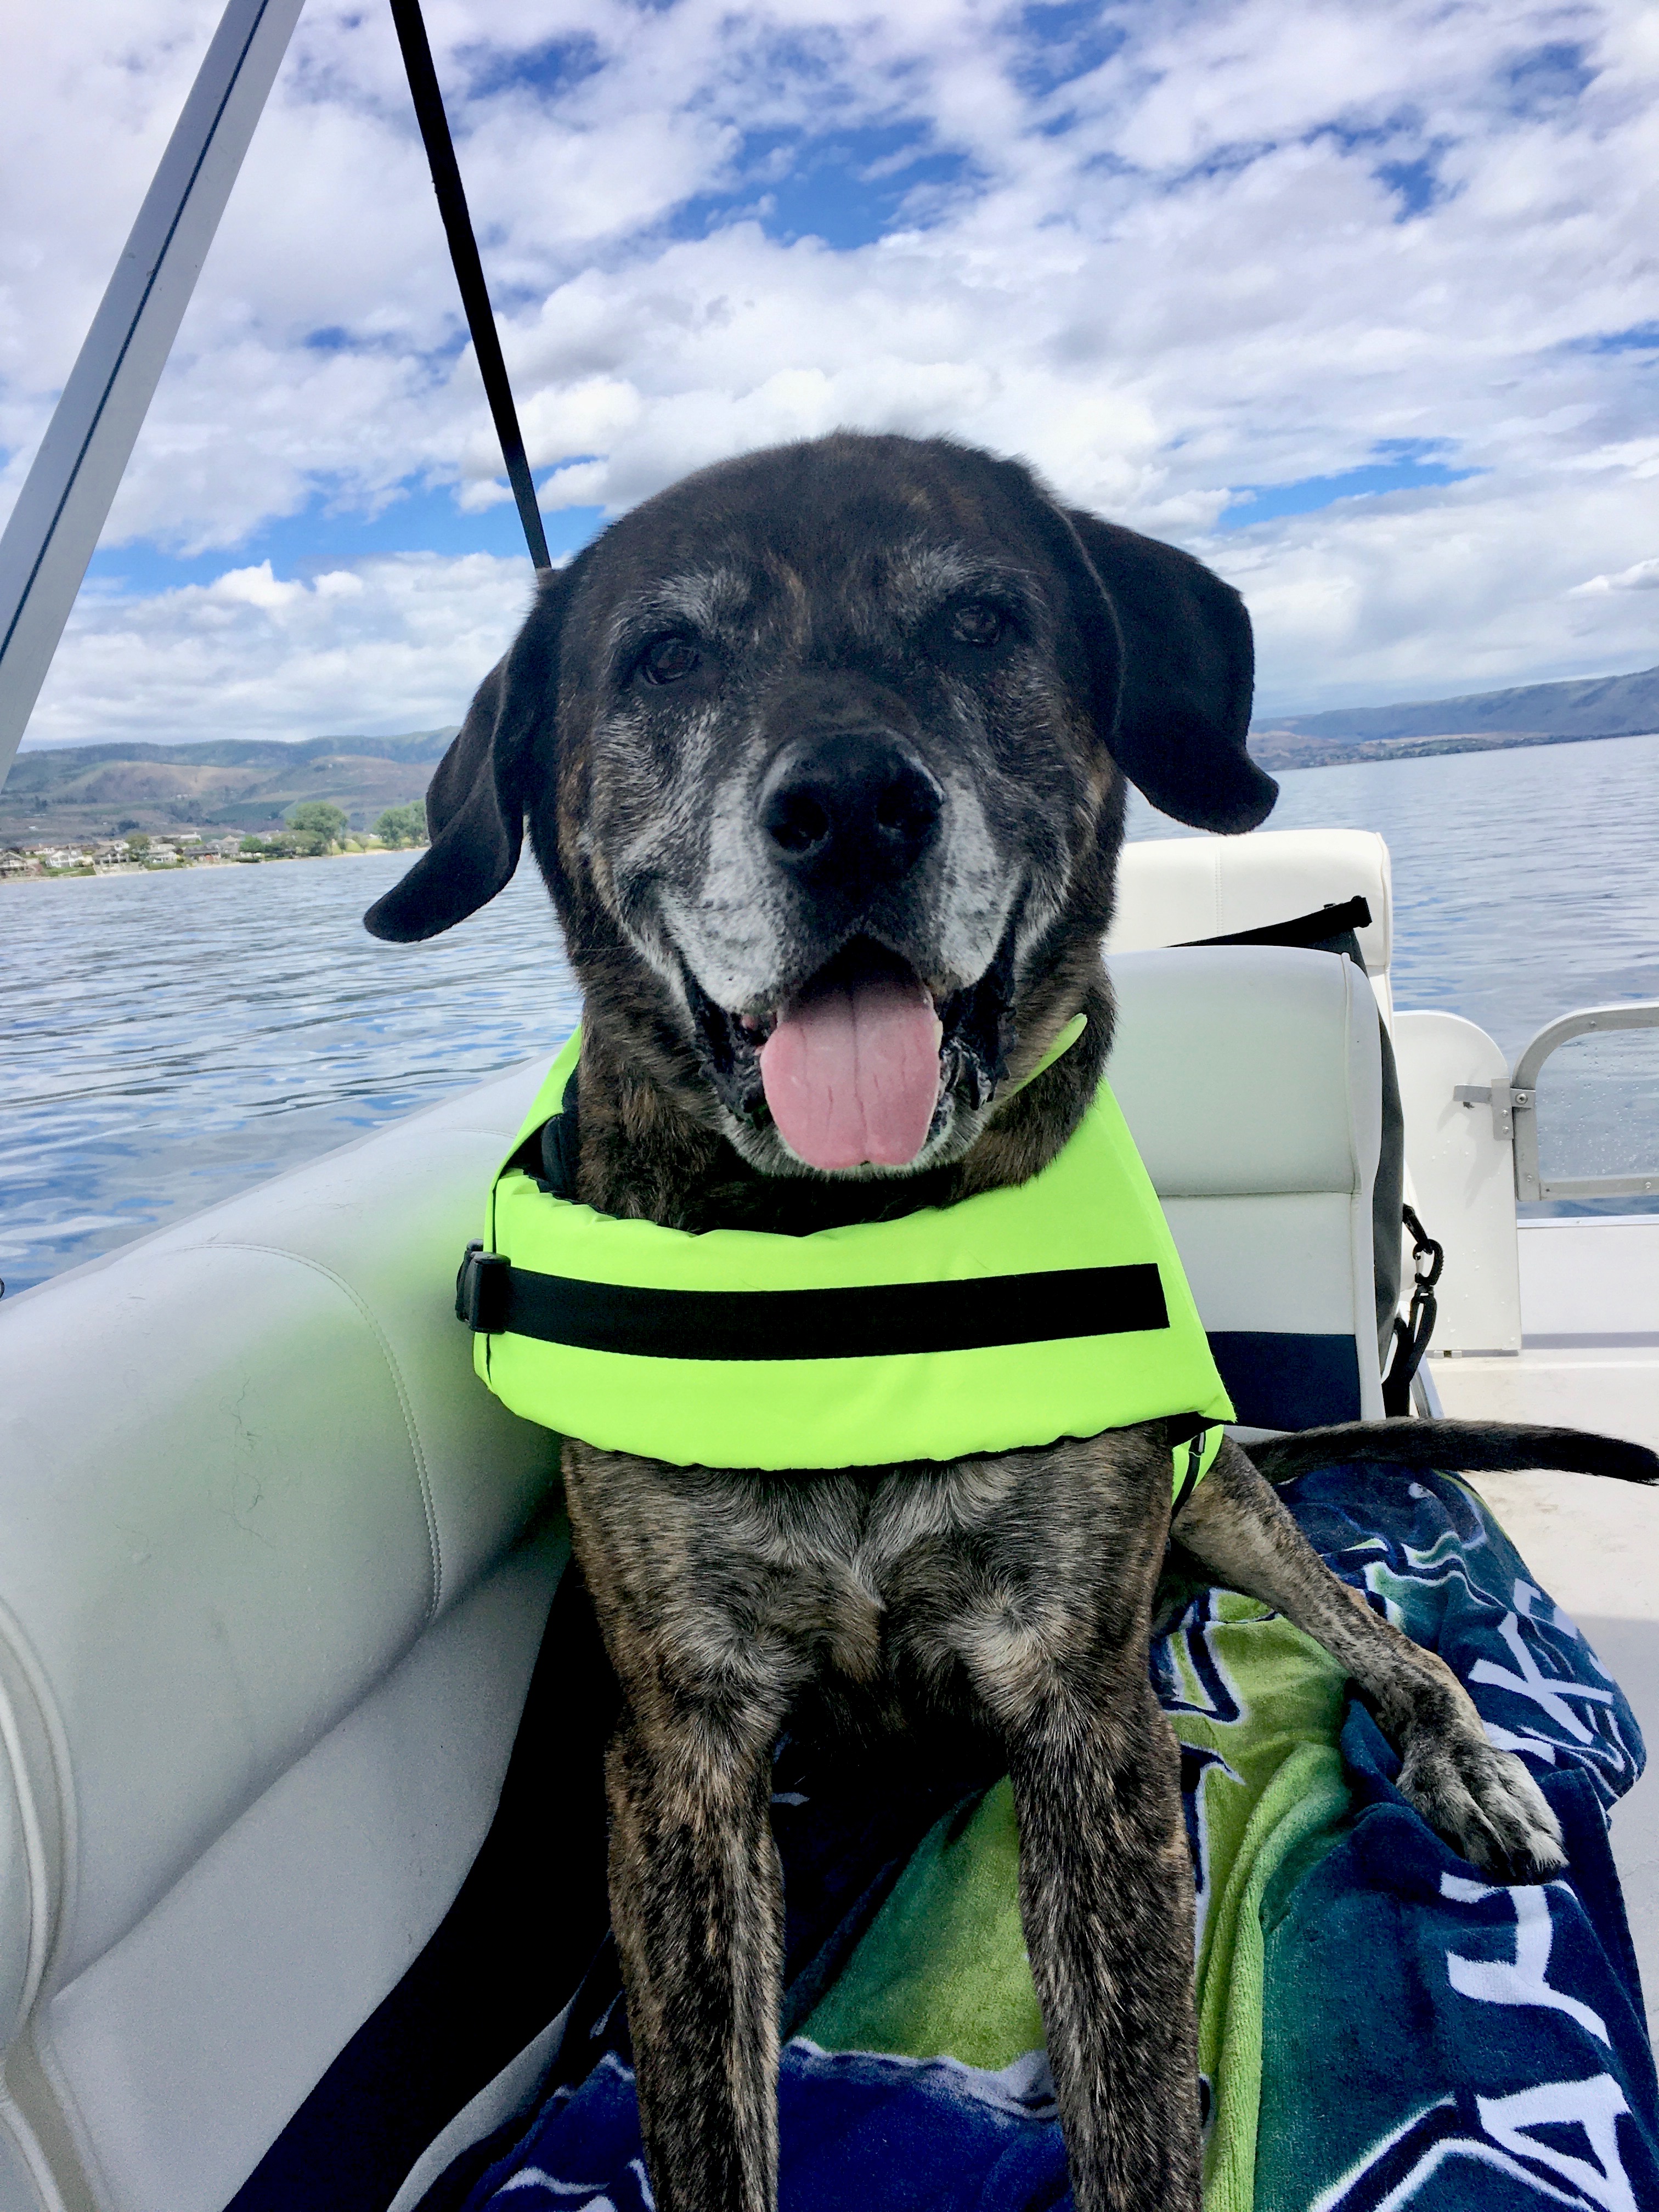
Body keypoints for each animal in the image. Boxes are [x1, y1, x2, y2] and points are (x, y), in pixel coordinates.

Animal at [367, 431, 1659, 2212]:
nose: (852, 807)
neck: (846, 1264)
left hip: (1222, 1501)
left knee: (1377, 1632)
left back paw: (1462, 1756)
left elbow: (1138, 2110)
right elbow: (710, 2129)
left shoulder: (1082, 1713)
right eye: (666, 657)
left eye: (981, 621)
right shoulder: (686, 1754)